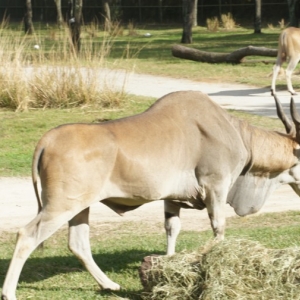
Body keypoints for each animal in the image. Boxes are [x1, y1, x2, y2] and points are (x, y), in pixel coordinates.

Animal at [1, 91, 300, 300]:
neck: (235, 131)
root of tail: (46, 140)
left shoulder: (172, 199)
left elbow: (171, 228)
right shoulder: (216, 187)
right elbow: (219, 229)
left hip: (80, 207)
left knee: (78, 243)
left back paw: (109, 284)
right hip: (61, 205)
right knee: (27, 235)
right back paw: (10, 292)